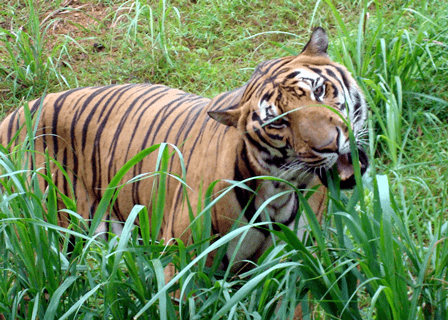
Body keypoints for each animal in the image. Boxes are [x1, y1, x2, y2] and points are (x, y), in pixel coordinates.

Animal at [0, 27, 368, 272]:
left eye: (319, 90)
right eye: (278, 123)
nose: (330, 144)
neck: (282, 193)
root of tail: (15, 113)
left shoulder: (294, 266)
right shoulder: (181, 261)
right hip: (46, 236)